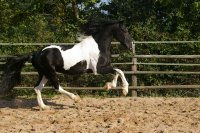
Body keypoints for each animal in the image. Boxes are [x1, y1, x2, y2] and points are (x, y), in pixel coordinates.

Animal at [0, 19, 133, 109]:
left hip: (44, 73)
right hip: (50, 72)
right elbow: (119, 71)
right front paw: (124, 90)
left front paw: (110, 86)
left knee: (37, 88)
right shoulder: (98, 69)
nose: (130, 46)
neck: (98, 46)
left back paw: (44, 107)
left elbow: (117, 72)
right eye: (125, 30)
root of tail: (35, 54)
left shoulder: (102, 68)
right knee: (56, 87)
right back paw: (75, 98)